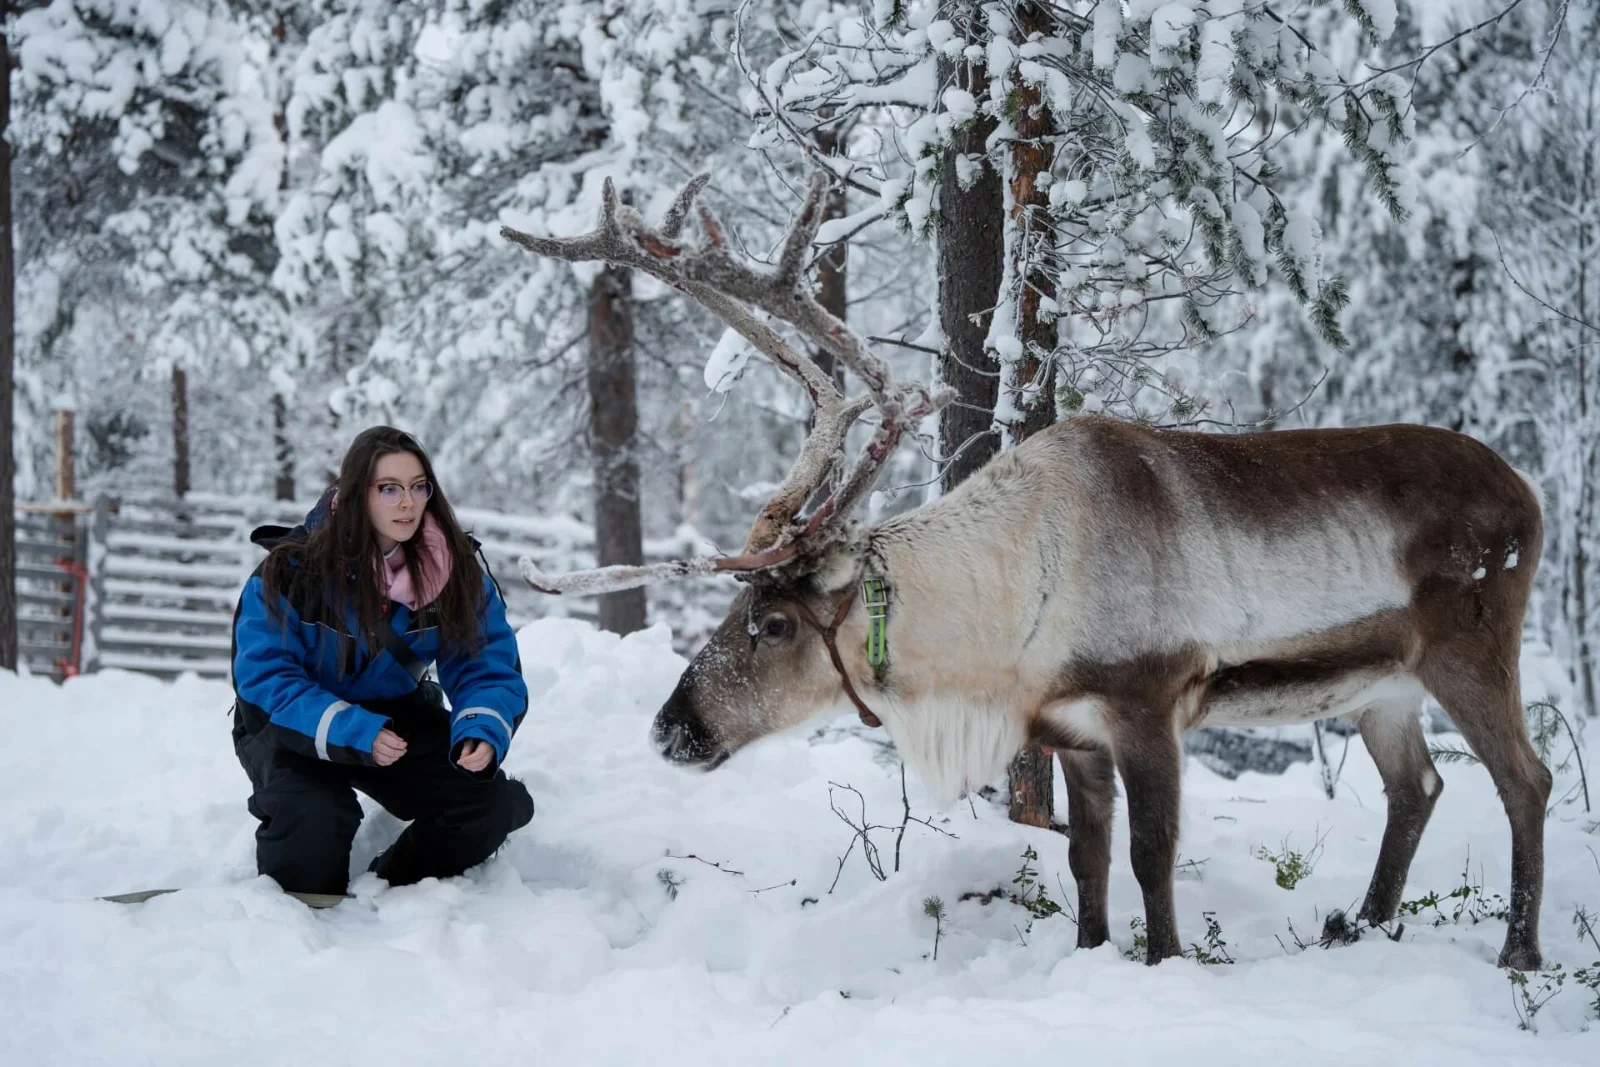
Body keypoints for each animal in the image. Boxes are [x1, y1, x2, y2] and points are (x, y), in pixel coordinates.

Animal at [501, 171, 1551, 970]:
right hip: (1383, 686)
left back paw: (1518, 952)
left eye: (773, 623)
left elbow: (1152, 857)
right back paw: (1363, 927)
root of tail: (1532, 493)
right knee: (1418, 788)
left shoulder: (1147, 702)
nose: (671, 727)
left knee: (1525, 779)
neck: (1004, 617)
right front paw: (1089, 958)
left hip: (1472, 648)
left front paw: (1166, 964)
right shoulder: (1069, 730)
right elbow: (1087, 861)